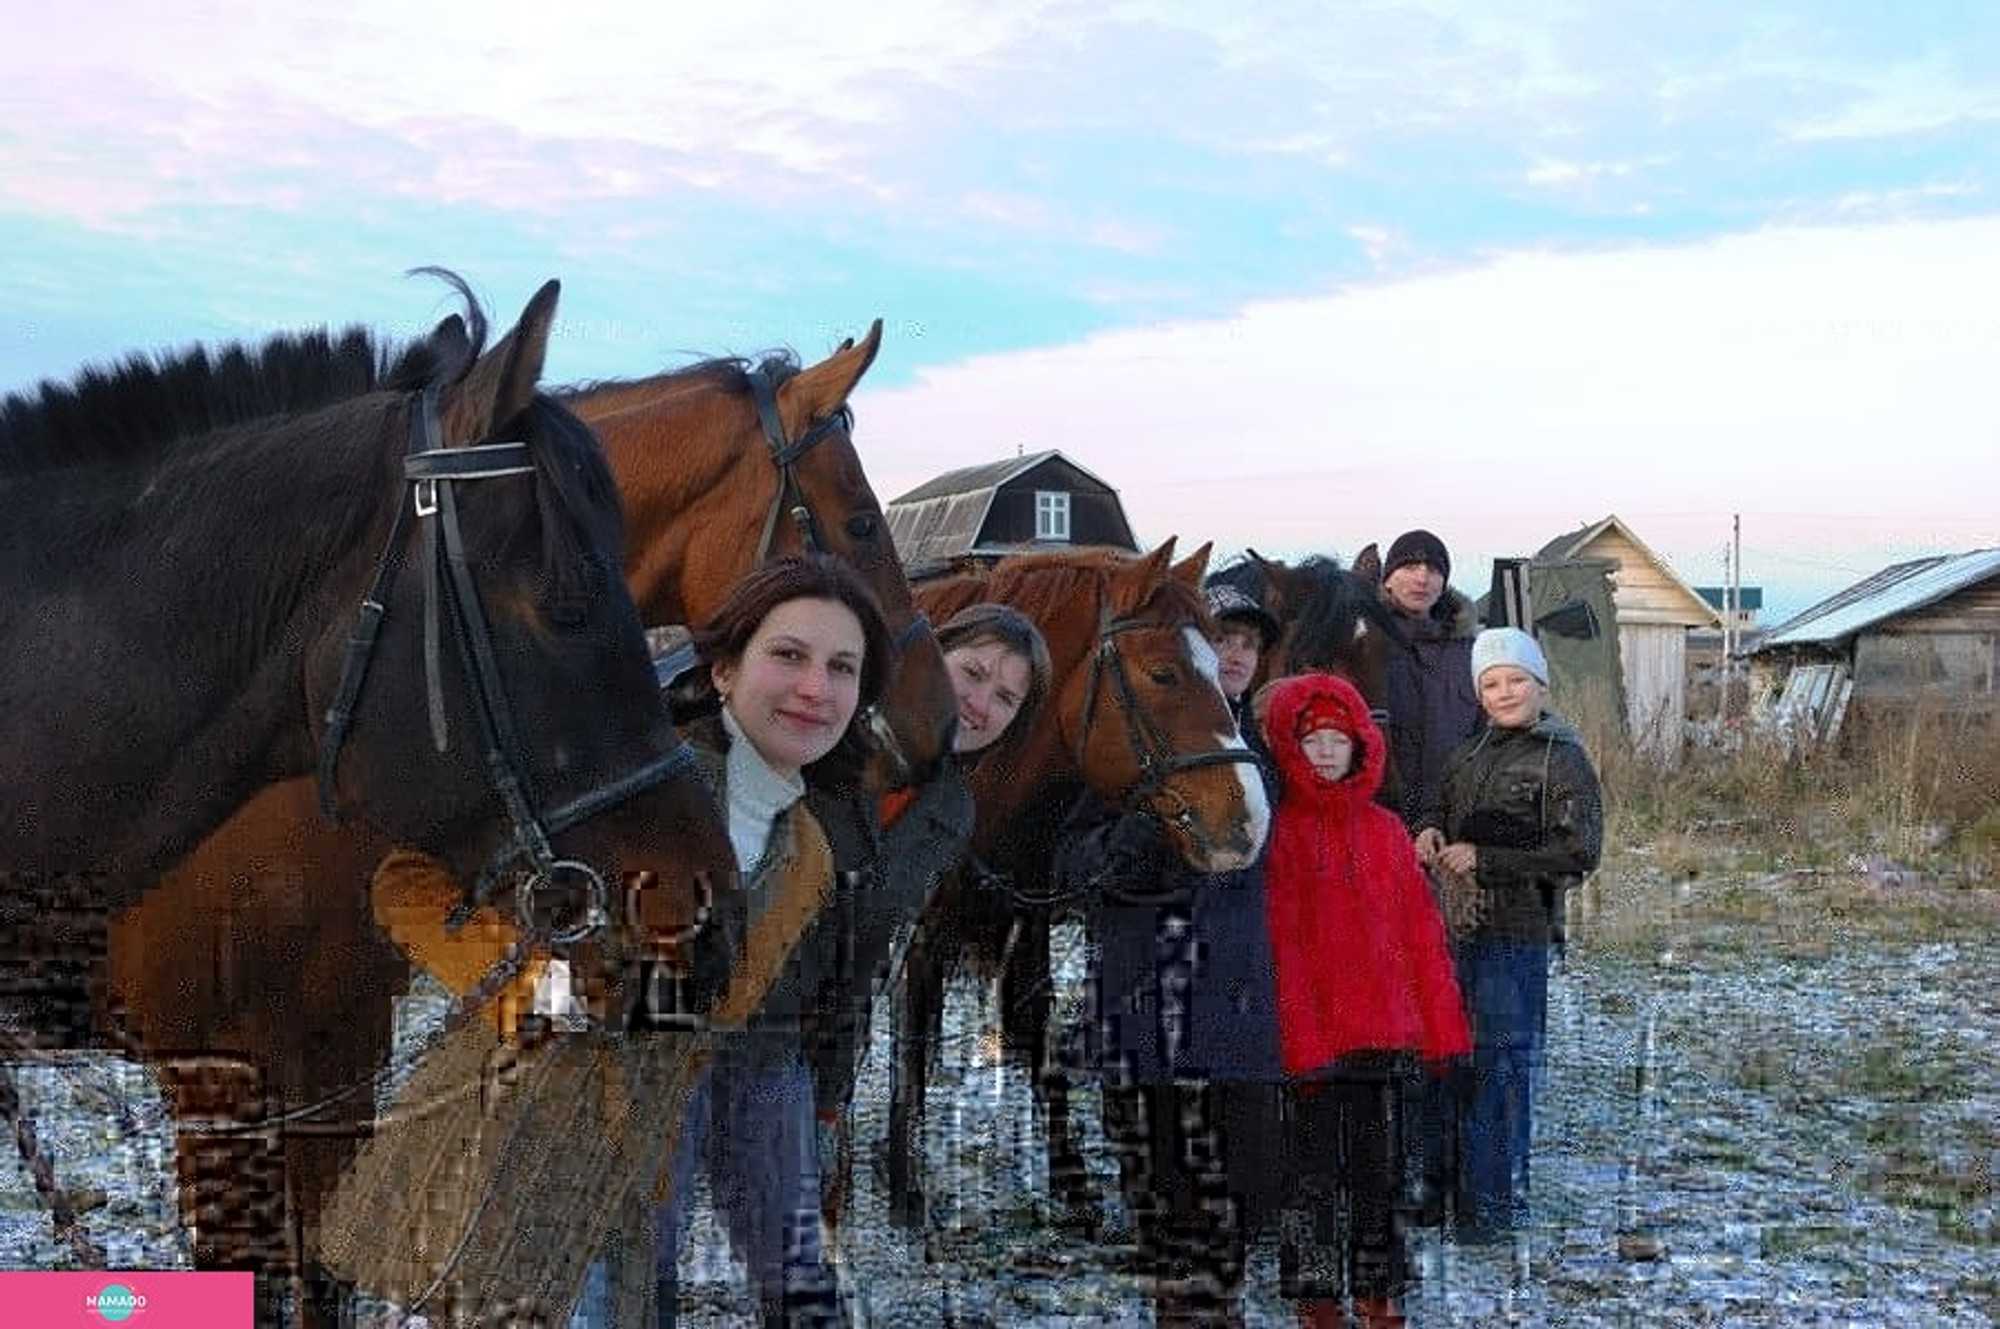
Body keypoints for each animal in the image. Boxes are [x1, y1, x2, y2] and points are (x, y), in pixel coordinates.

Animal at [888, 540, 1272, 1232]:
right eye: (1164, 675)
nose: (1250, 821)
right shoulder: (919, 923)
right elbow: (910, 1031)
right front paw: (904, 1185)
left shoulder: (1029, 908)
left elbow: (1037, 1024)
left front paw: (1069, 1178)